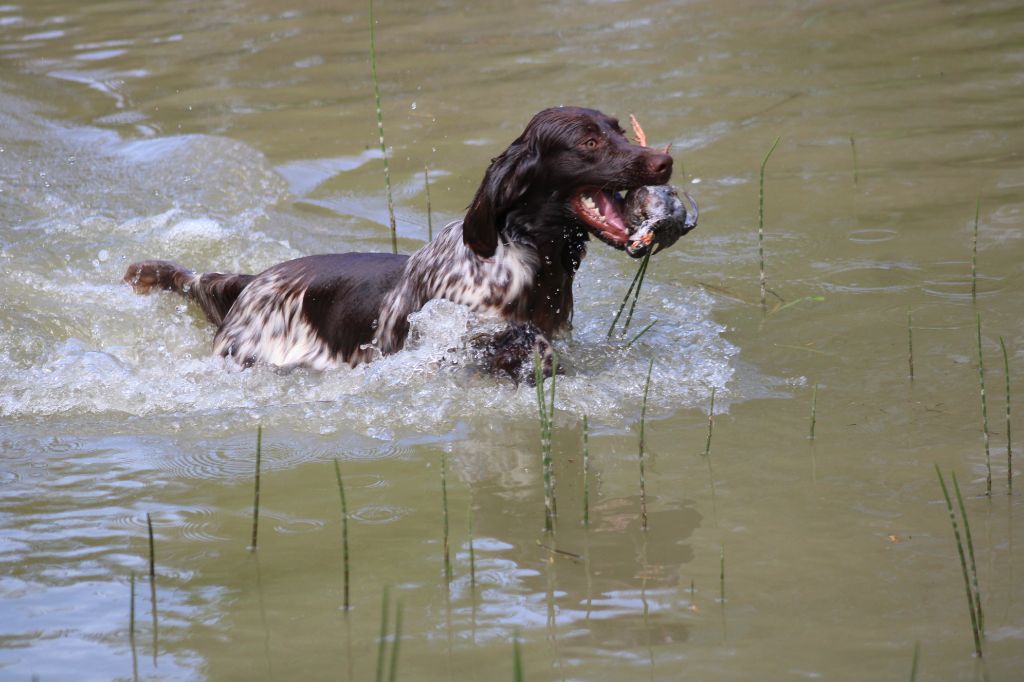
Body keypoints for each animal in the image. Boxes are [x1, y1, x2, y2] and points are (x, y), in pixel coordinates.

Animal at [123, 104, 675, 376]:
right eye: (589, 142)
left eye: (619, 130)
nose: (664, 160)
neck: (524, 256)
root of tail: (254, 280)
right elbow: (511, 342)